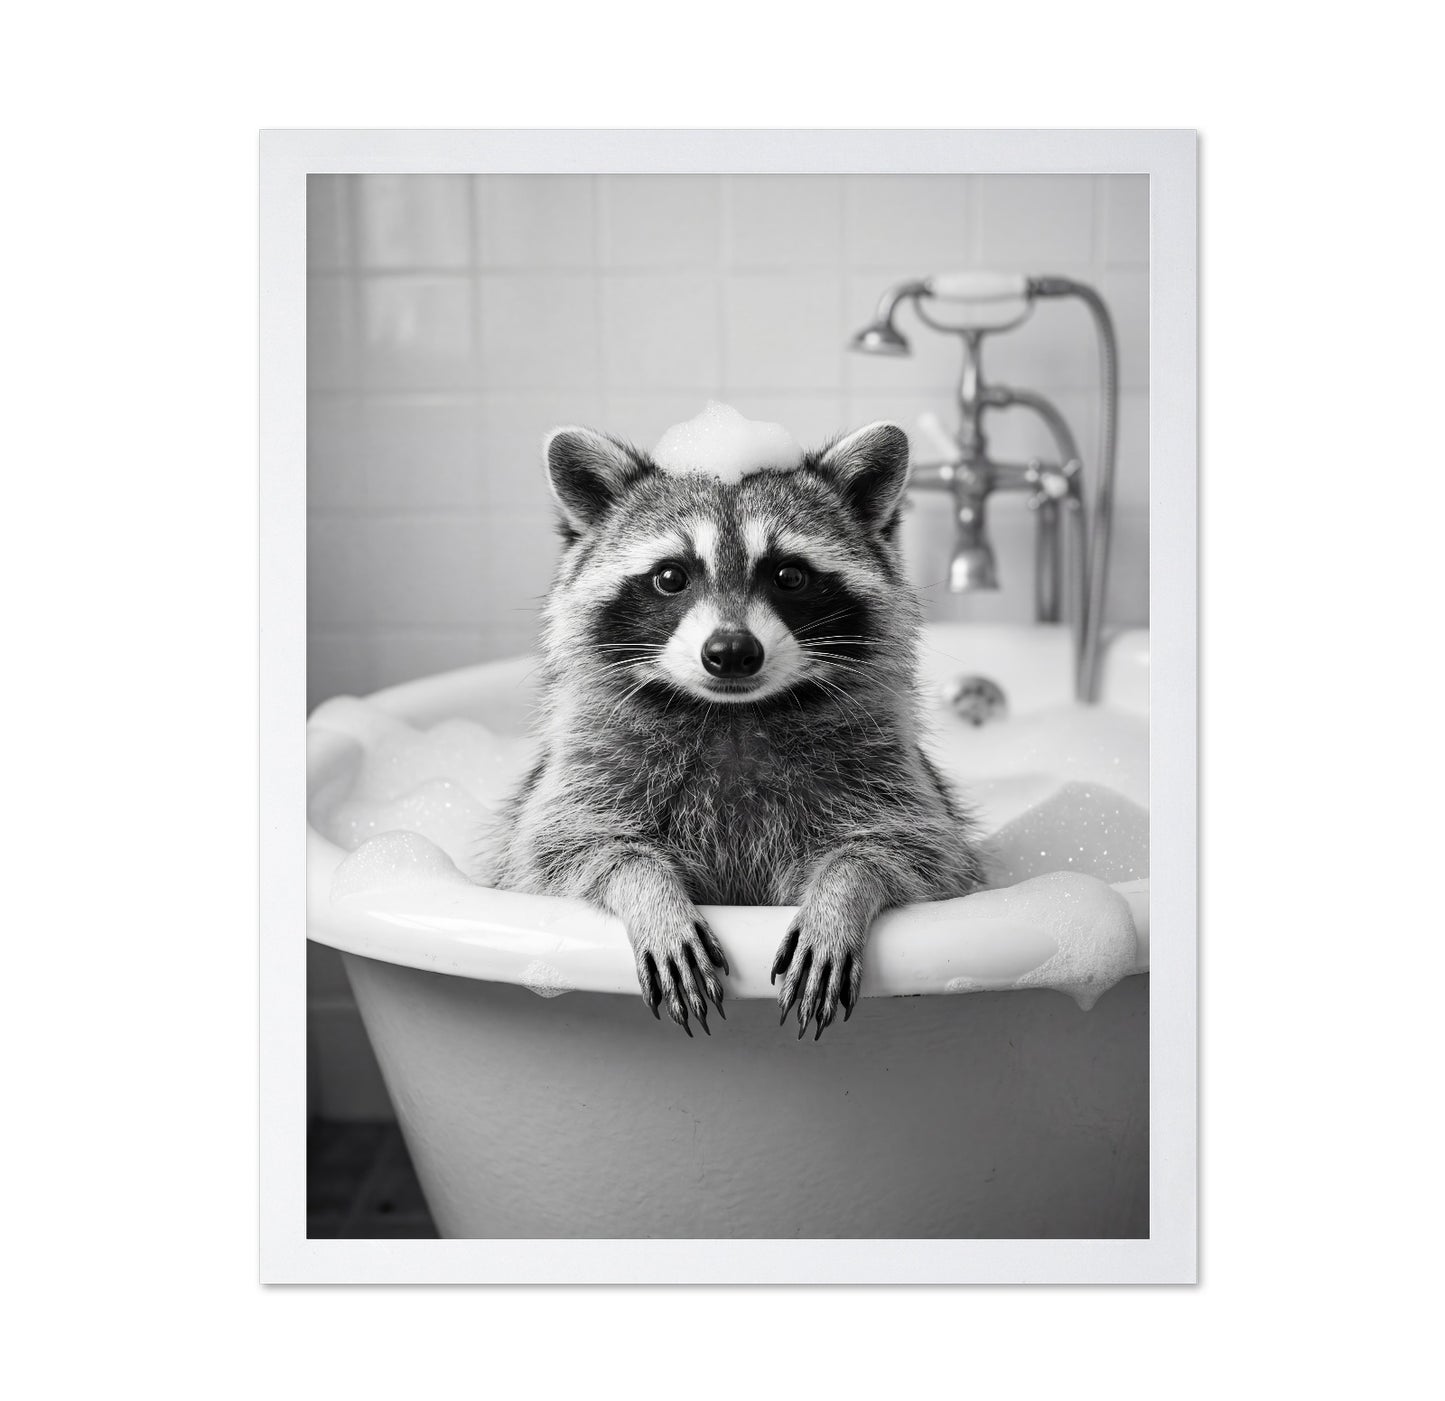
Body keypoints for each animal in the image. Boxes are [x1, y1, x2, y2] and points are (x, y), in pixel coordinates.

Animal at [489, 419, 985, 1039]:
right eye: (670, 576)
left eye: (789, 575)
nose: (730, 652)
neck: (734, 716)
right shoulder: (588, 765)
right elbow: (560, 849)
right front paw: (649, 891)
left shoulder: (885, 764)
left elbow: (920, 854)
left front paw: (842, 891)